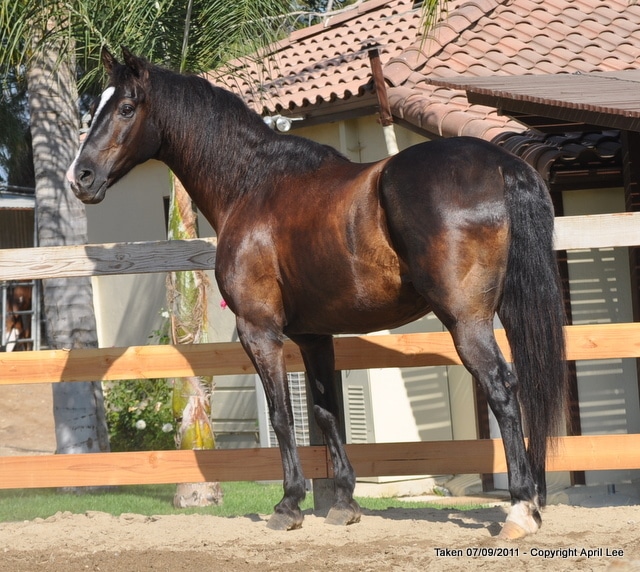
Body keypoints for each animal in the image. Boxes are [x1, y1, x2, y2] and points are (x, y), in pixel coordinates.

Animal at [66, 47, 564, 540]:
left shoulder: (259, 331)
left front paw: (288, 504)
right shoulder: (314, 336)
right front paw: (344, 502)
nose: (80, 177)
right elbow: (326, 412)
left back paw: (520, 510)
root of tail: (502, 165)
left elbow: (283, 415)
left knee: (501, 387)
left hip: (466, 321)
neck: (252, 183)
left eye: (126, 108)